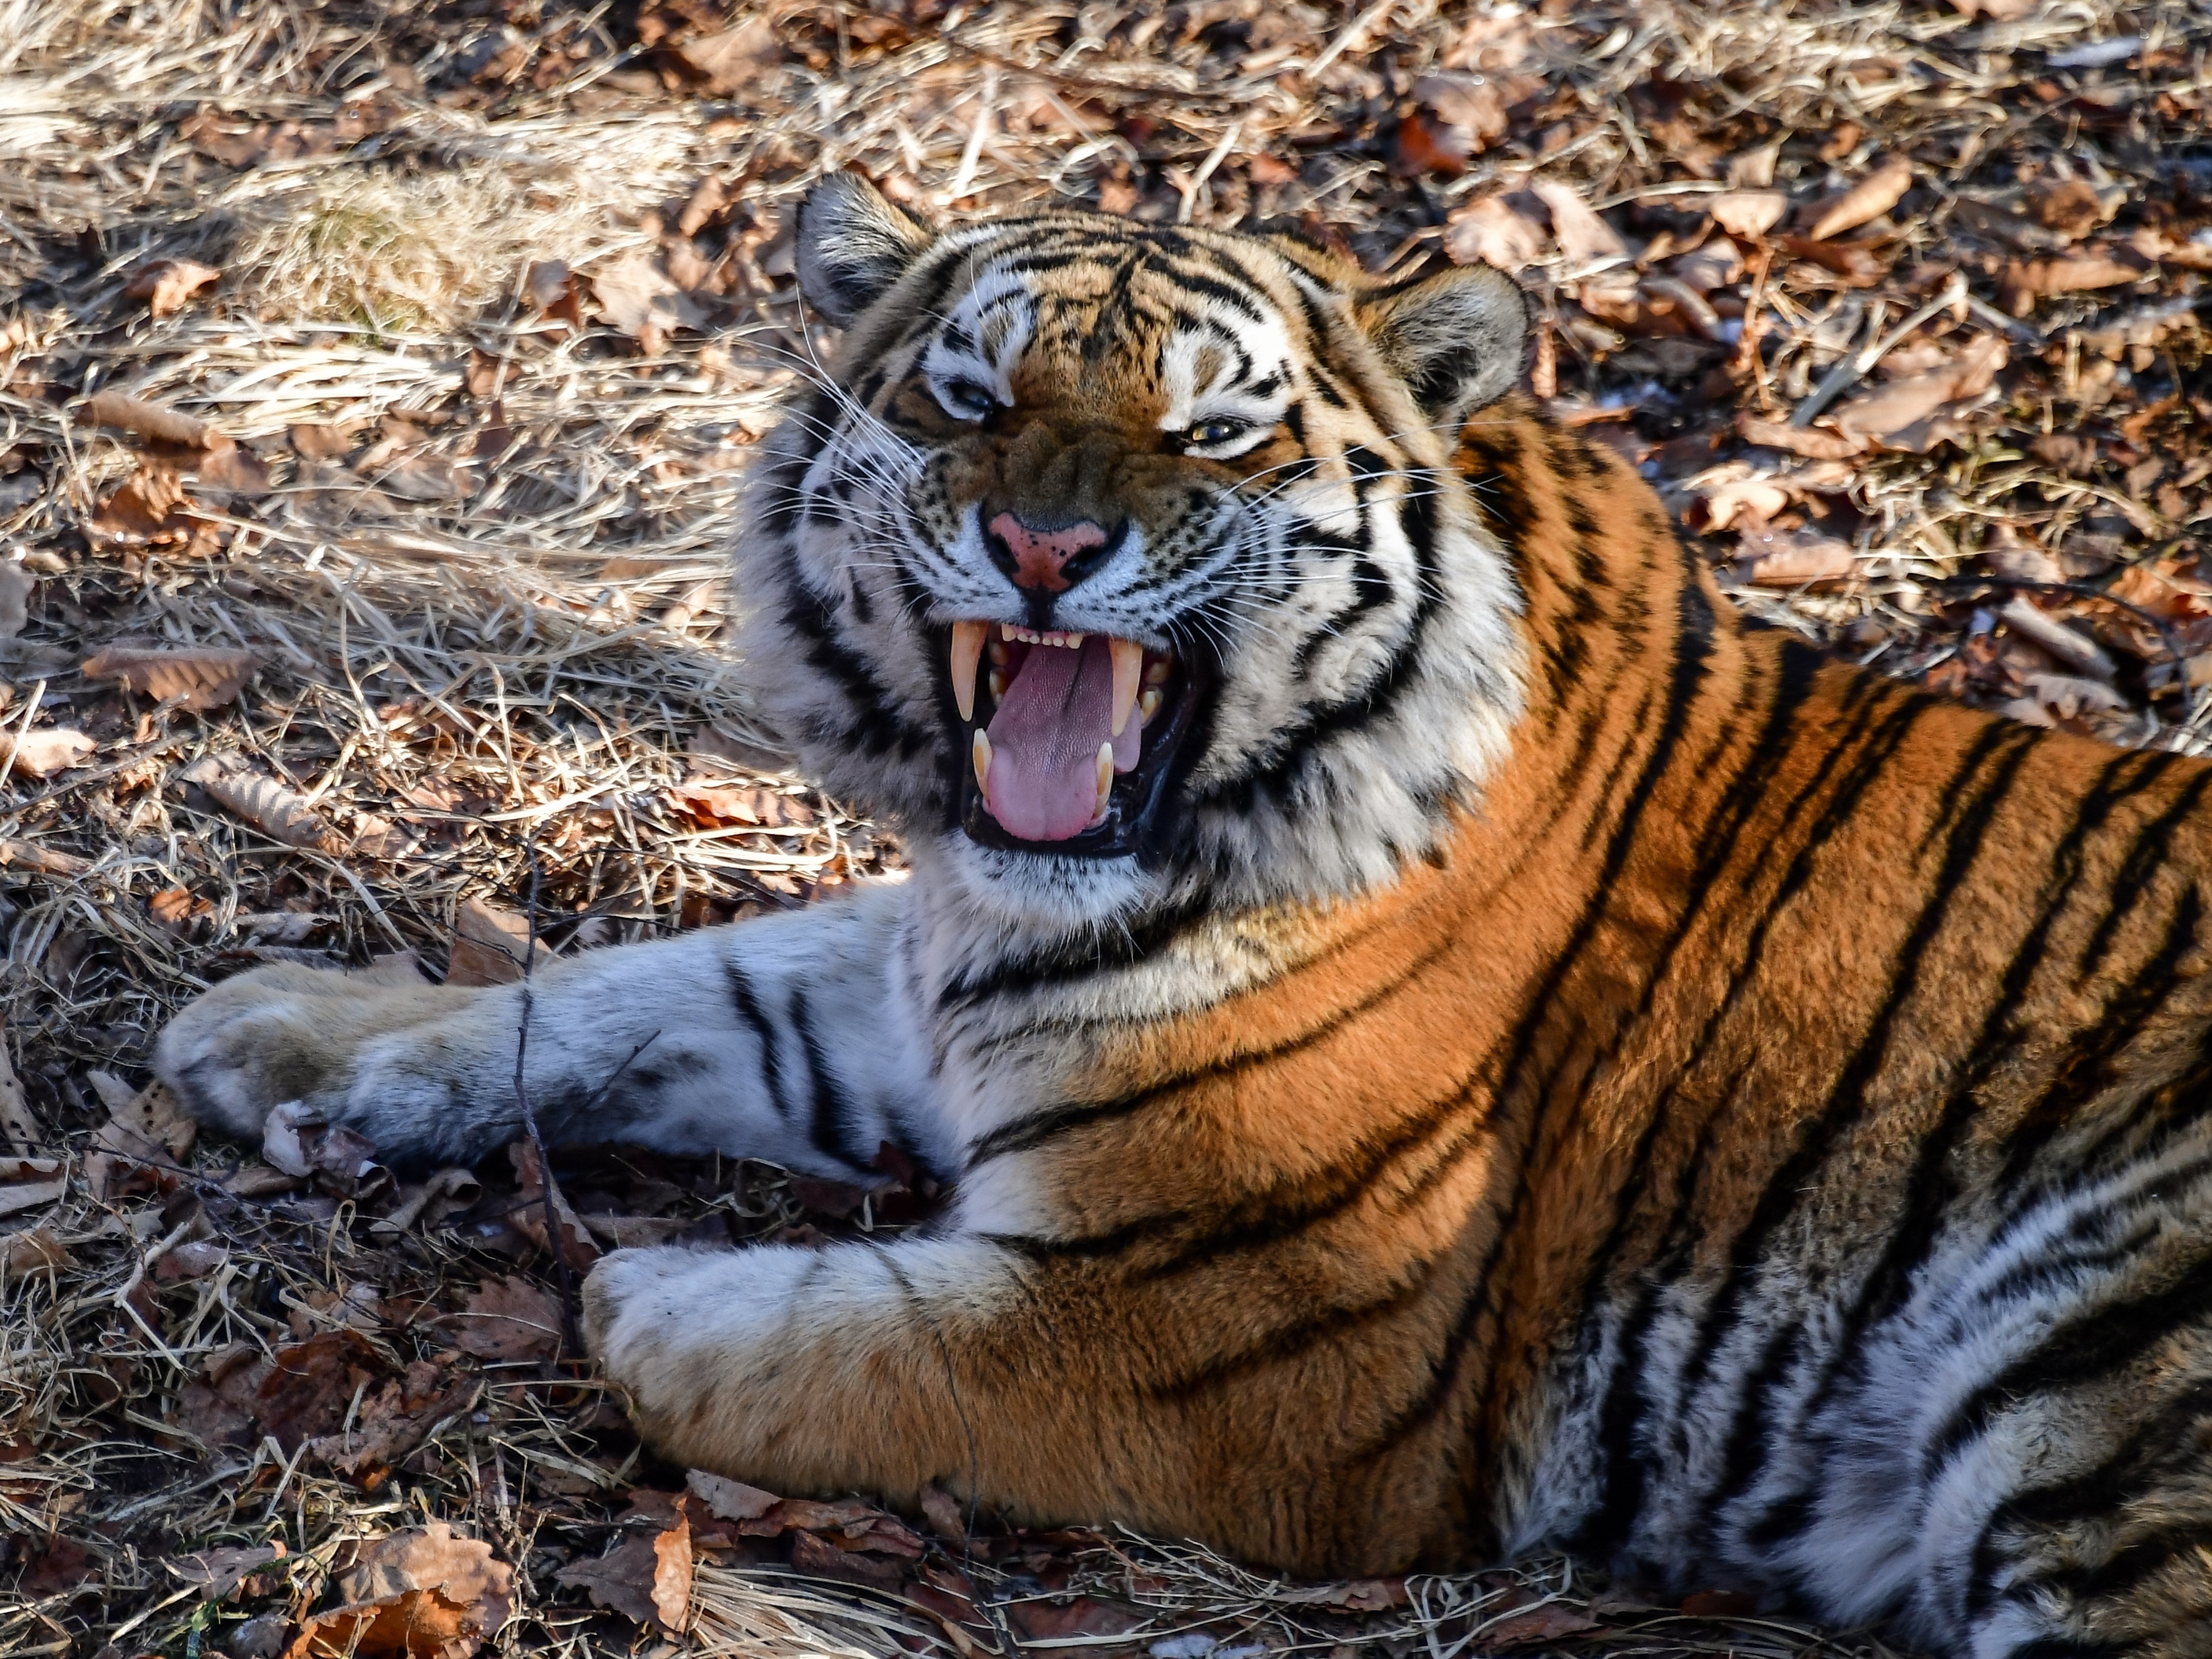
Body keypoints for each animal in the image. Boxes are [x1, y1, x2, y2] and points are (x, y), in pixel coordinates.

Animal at [160, 176, 2212, 1654]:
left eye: (1213, 436)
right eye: (967, 398)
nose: (1045, 550)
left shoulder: (1254, 1333)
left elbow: (785, 1341)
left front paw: (639, 1284)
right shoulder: (923, 988)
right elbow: (642, 987)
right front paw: (291, 1033)